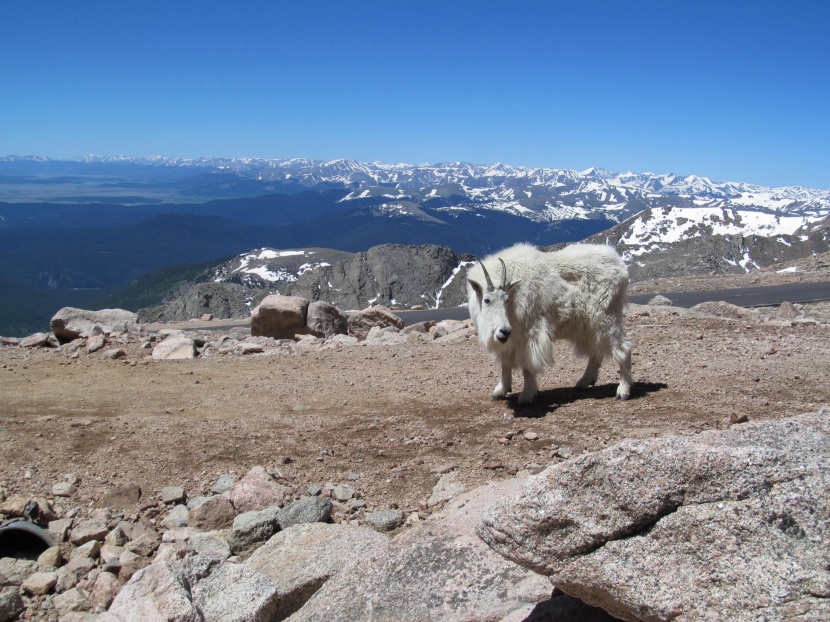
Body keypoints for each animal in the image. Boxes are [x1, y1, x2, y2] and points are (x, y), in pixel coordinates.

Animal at [464, 241, 632, 408]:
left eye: (507, 300)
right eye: (487, 300)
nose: (504, 331)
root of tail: (621, 265)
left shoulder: (530, 333)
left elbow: (527, 366)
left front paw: (526, 395)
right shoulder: (510, 339)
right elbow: (505, 364)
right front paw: (499, 391)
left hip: (607, 316)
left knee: (623, 349)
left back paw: (623, 390)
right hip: (589, 326)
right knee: (596, 351)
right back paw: (584, 382)